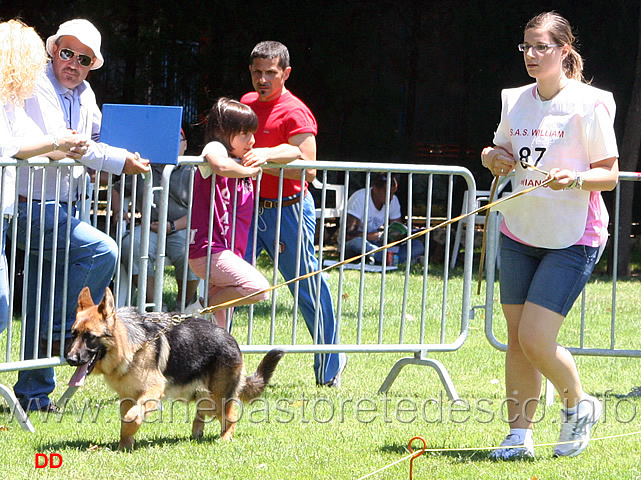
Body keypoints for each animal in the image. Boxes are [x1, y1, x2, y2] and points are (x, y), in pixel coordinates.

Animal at [66, 286, 284, 452]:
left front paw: (129, 435)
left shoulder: (153, 390)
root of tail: (232, 339)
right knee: (202, 414)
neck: (130, 345)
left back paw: (224, 438)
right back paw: (196, 436)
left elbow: (132, 416)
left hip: (217, 398)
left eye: (90, 337)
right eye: (73, 334)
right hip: (205, 397)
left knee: (230, 416)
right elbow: (126, 422)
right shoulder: (127, 397)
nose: (69, 359)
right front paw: (124, 446)